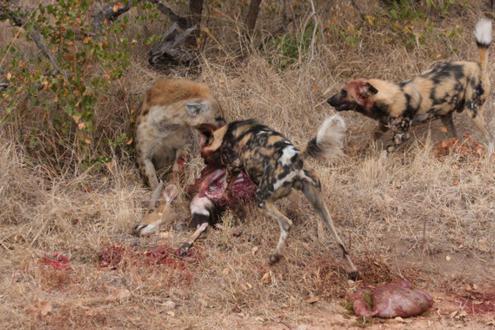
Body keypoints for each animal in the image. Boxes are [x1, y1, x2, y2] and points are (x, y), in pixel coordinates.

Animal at [187, 114, 360, 280]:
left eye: (204, 157)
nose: (203, 167)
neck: (225, 134)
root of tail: (296, 159)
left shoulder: (233, 166)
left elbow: (226, 186)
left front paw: (223, 194)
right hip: (319, 205)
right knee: (340, 242)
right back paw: (353, 270)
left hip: (262, 199)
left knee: (286, 223)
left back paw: (274, 257)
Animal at [328, 19, 494, 155]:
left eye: (344, 92)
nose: (328, 100)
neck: (387, 98)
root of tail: (478, 66)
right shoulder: (382, 126)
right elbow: (371, 141)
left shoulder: (401, 135)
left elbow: (385, 152)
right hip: (446, 116)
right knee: (455, 137)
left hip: (473, 111)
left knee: (490, 137)